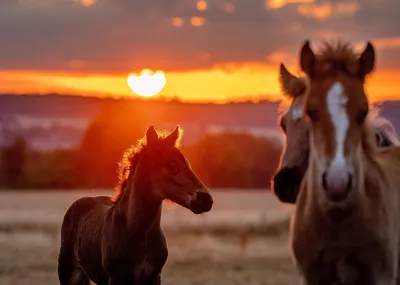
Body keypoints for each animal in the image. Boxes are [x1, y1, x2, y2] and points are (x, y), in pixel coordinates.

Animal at [57, 125, 214, 284]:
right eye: (173, 167)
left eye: (187, 164)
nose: (206, 200)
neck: (139, 231)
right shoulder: (117, 278)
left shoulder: (154, 277)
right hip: (70, 274)